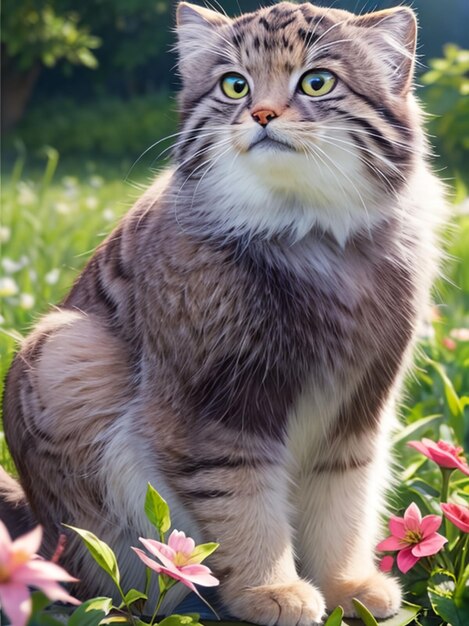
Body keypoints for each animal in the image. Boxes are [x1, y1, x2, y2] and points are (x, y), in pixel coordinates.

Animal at [1, 2, 444, 620]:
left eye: (317, 81)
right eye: (235, 85)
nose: (261, 113)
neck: (305, 230)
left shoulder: (357, 411)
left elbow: (343, 506)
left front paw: (347, 585)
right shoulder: (215, 415)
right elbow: (244, 507)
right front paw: (270, 590)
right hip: (67, 349)